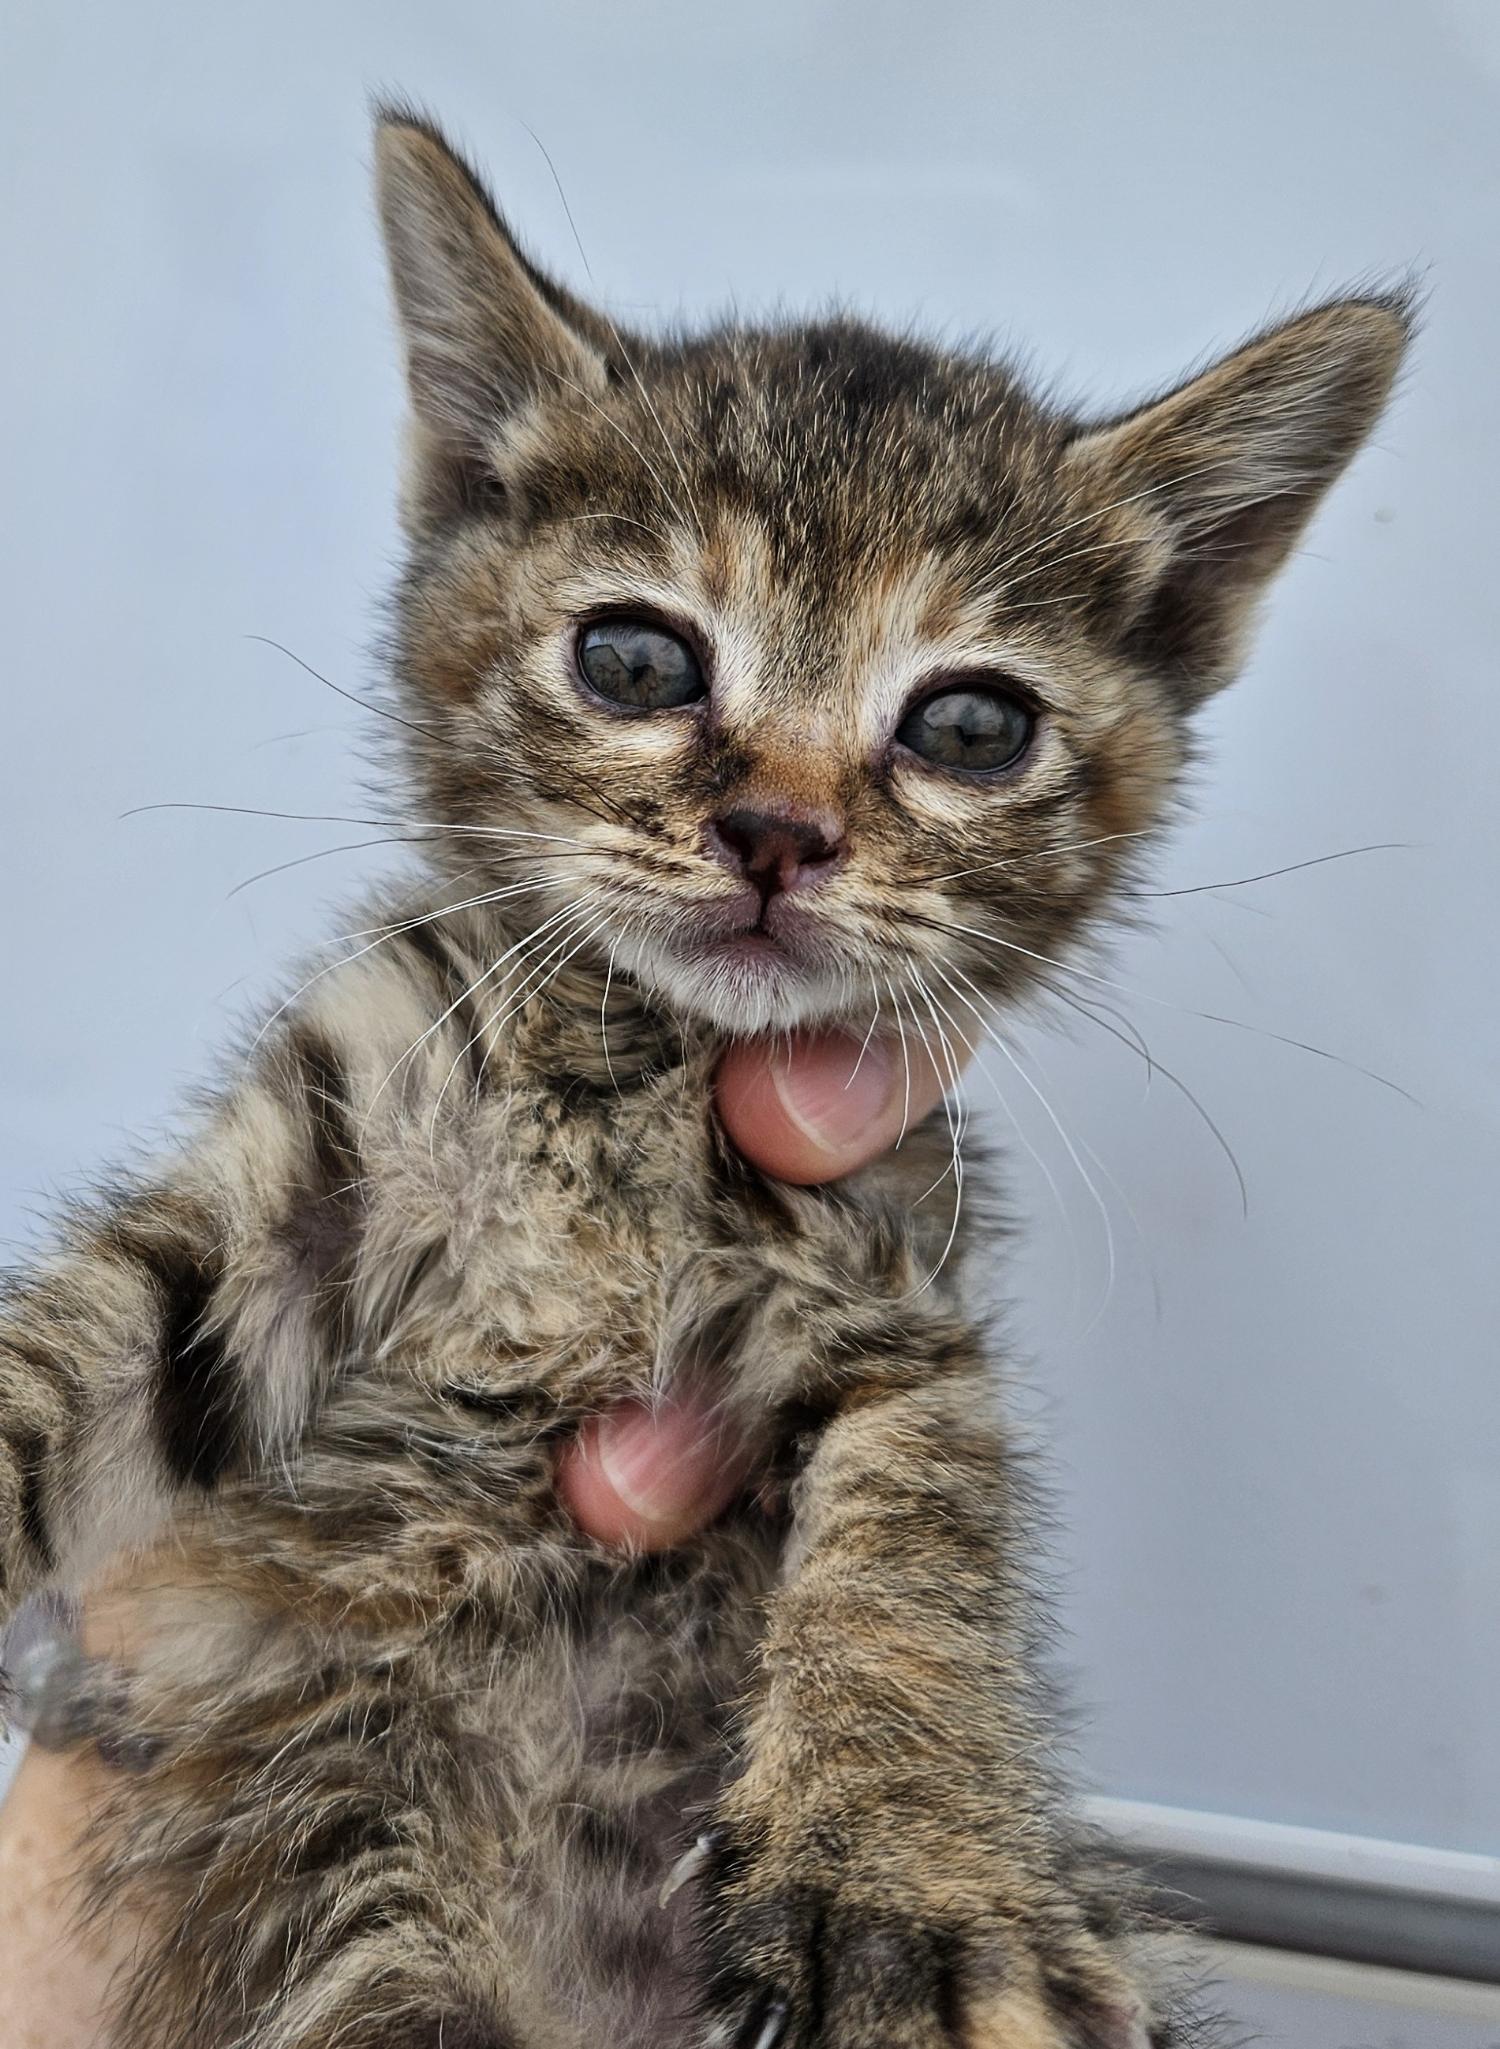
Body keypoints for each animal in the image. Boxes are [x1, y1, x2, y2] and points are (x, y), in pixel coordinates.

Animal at [0, 112, 1409, 2049]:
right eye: (636, 658)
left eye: (971, 724)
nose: (778, 830)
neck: (638, 1070)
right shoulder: (312, 1162)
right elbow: (71, 1353)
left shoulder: (899, 1288)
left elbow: (918, 1539)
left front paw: (906, 1870)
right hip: (360, 1873)